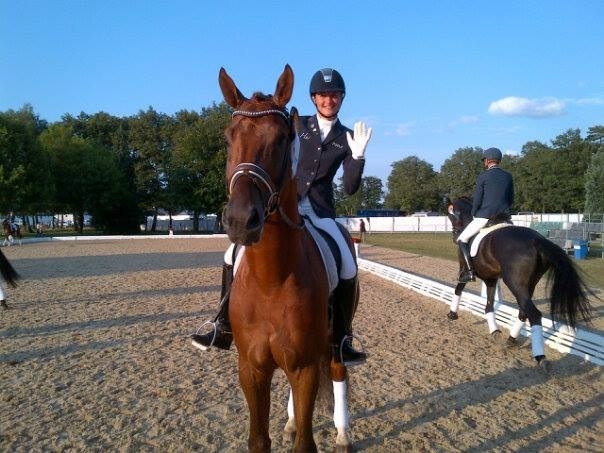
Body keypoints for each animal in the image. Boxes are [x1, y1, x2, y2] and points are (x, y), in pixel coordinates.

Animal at [446, 197, 593, 369]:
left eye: (451, 215)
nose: (455, 237)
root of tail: (538, 240)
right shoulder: (491, 279)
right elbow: (489, 306)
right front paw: (495, 331)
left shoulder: (464, 271)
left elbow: (458, 289)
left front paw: (452, 314)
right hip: (529, 284)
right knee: (524, 312)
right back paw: (511, 340)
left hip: (514, 283)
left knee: (533, 313)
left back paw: (540, 357)